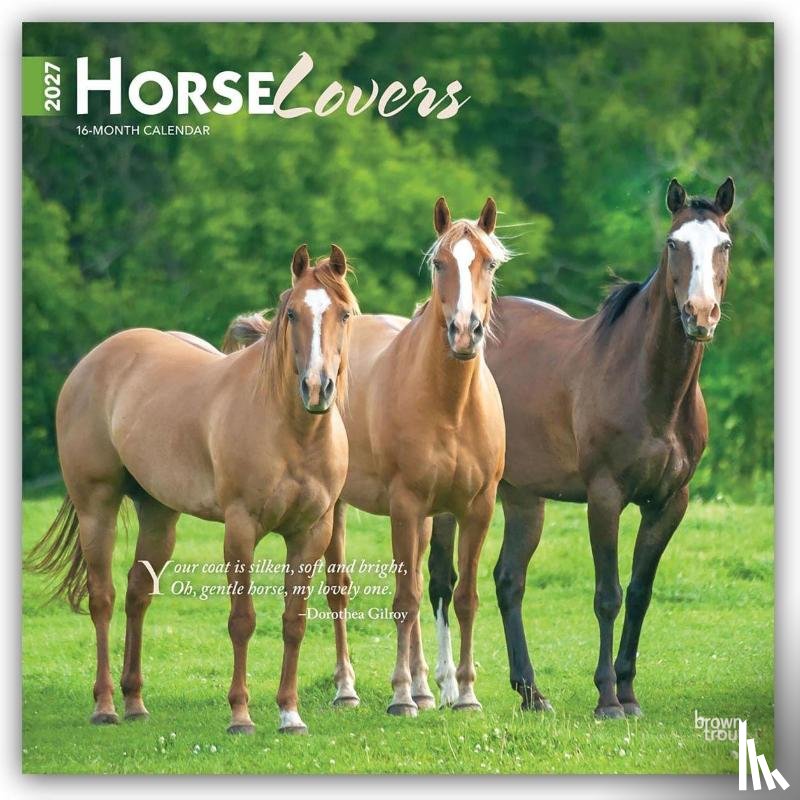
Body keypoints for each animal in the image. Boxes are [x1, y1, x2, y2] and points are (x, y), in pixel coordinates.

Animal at [25, 244, 359, 735]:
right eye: (292, 313)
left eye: (345, 314)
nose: (317, 387)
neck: (292, 432)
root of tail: (93, 361)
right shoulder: (240, 529)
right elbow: (242, 620)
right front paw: (240, 715)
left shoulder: (311, 533)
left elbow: (294, 621)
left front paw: (290, 713)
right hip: (97, 509)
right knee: (103, 599)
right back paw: (105, 706)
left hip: (159, 515)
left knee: (137, 594)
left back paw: (135, 701)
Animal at [428, 178, 736, 718]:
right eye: (674, 243)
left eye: (724, 244)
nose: (700, 314)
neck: (649, 385)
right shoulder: (605, 497)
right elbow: (608, 595)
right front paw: (608, 699)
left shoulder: (669, 503)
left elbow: (640, 592)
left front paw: (629, 692)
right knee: (443, 581)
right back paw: (447, 689)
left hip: (524, 498)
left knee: (509, 581)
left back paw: (531, 693)